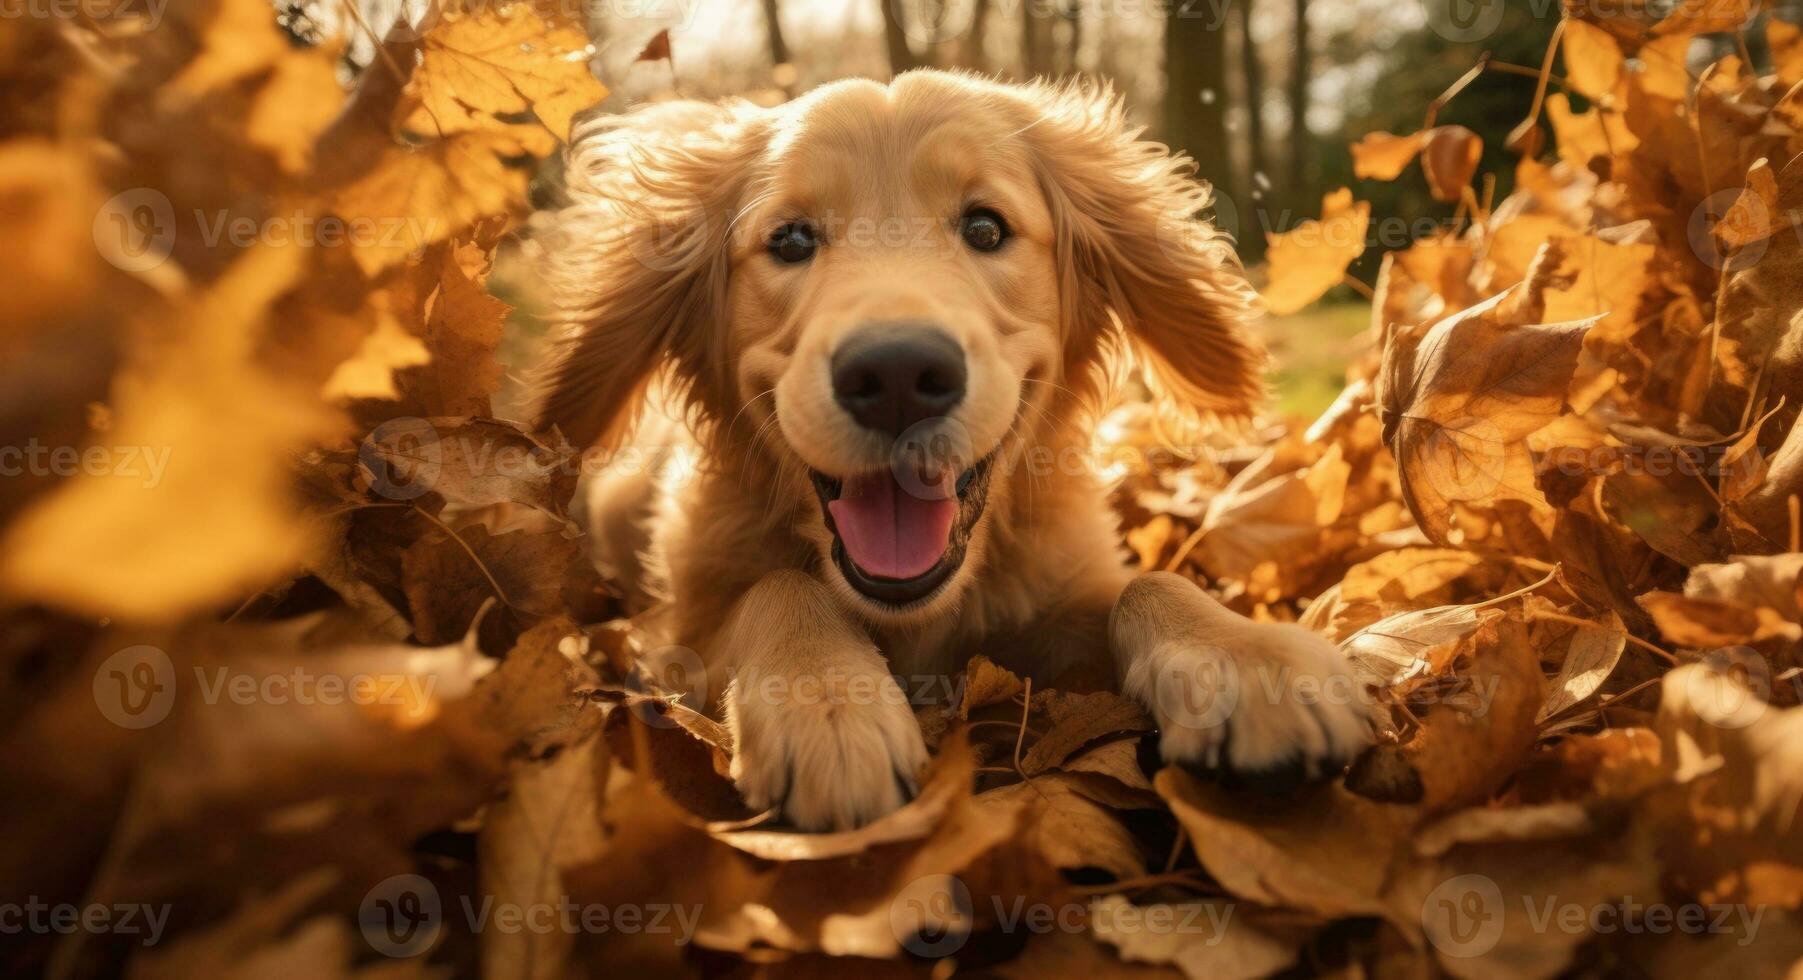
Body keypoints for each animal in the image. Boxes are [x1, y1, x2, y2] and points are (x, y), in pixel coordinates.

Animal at [533, 72, 1377, 832]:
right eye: (791, 239)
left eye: (985, 228)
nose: (896, 376)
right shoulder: (676, 639)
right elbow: (776, 585)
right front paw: (824, 700)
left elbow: (1148, 582)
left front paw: (1246, 658)